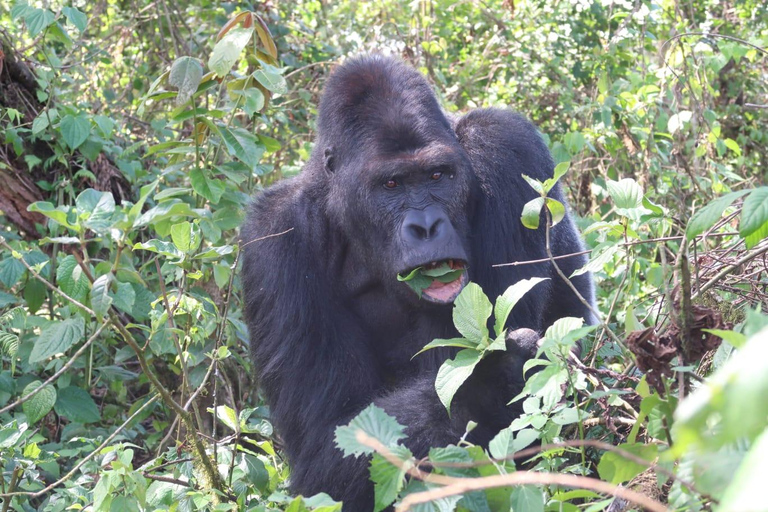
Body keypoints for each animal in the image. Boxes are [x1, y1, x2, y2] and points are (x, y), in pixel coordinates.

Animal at [240, 54, 592, 510]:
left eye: (438, 176)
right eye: (391, 184)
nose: (426, 227)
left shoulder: (505, 147)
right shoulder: (275, 240)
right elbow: (326, 447)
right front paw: (490, 378)